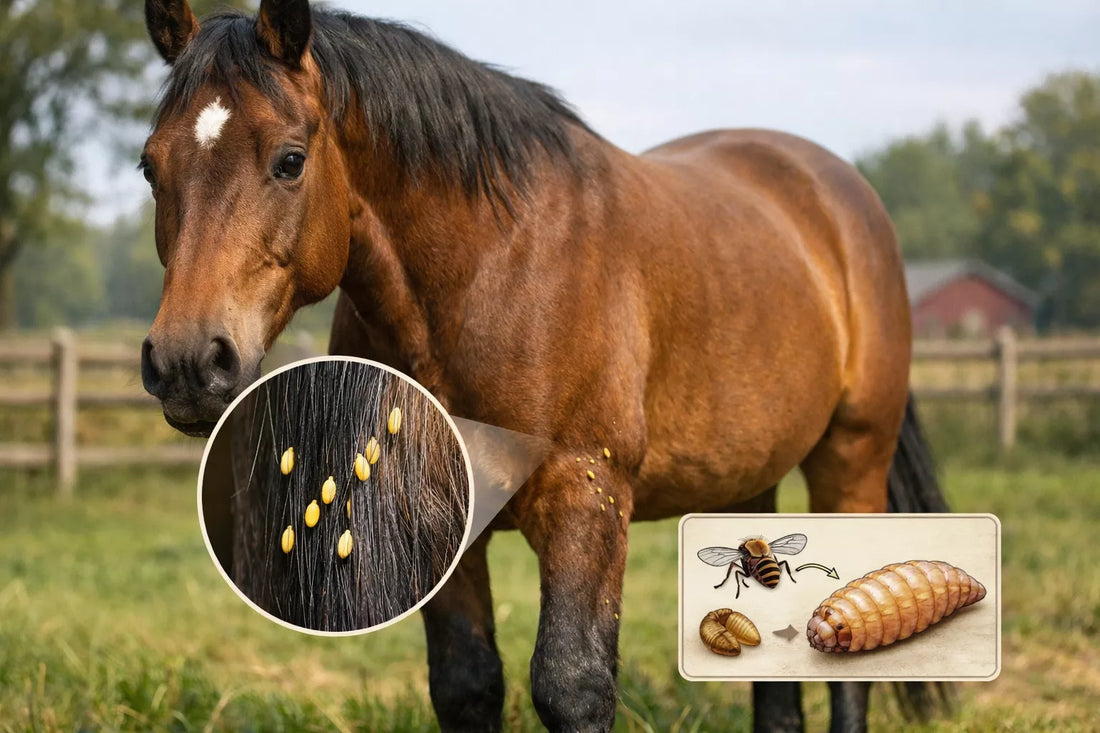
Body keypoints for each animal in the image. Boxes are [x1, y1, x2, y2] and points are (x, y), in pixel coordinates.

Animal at [139, 1, 949, 730]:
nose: (186, 361)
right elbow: (467, 685)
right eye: (150, 166)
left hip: (852, 458)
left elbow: (571, 686)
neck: (493, 269)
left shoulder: (585, 496)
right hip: (746, 482)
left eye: (290, 160)